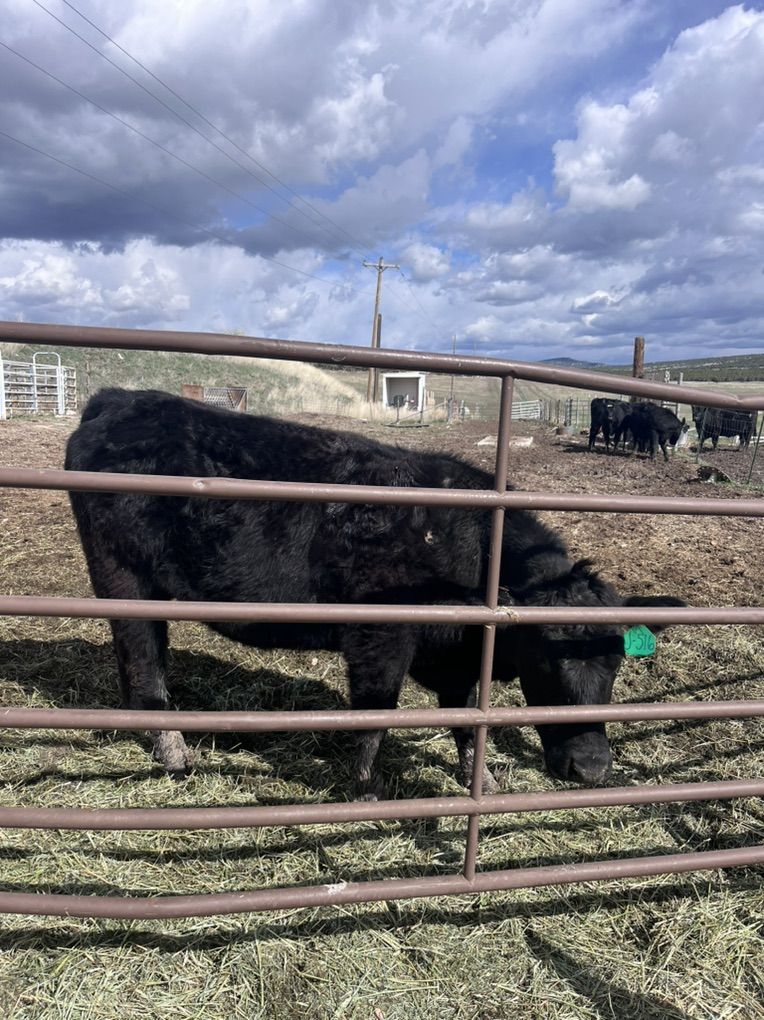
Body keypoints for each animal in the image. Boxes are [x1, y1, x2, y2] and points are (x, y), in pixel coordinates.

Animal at [65, 389, 683, 800]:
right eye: (545, 660)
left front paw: (480, 778)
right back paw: (173, 750)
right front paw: (364, 791)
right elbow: (375, 717)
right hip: (124, 580)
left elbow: (466, 718)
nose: (592, 770)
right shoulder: (378, 638)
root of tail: (119, 400)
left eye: (617, 663)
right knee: (143, 661)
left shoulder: (458, 655)